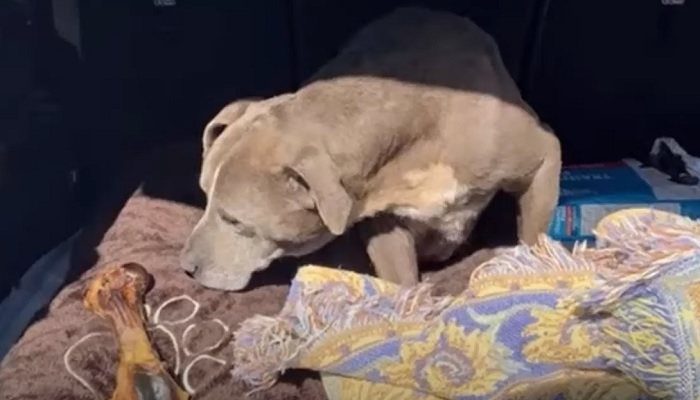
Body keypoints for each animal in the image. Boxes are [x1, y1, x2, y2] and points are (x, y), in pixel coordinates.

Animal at [181, 7, 561, 291]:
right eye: (204, 198)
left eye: (234, 219)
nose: (185, 267)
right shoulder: (382, 221)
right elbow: (400, 281)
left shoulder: (543, 156)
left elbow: (533, 237)